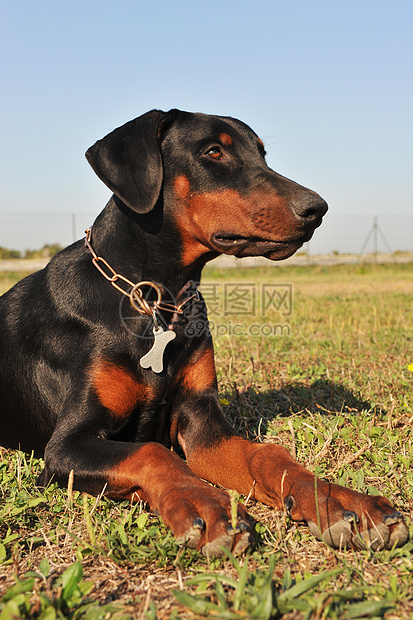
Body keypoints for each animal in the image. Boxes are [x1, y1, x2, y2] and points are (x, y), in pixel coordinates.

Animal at [0, 109, 406, 556]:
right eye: (213, 151)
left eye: (262, 153)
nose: (317, 208)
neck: (157, 302)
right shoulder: (65, 446)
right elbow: (152, 452)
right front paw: (205, 504)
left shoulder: (201, 420)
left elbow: (268, 455)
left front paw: (341, 501)